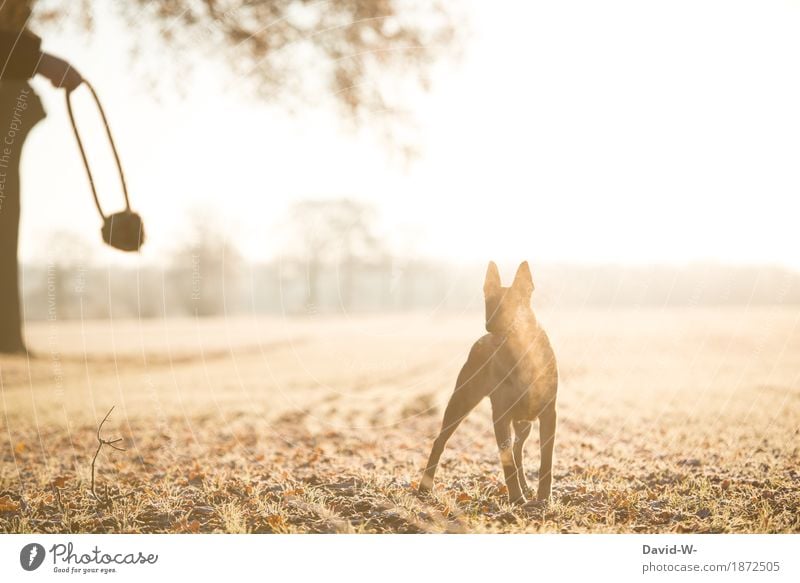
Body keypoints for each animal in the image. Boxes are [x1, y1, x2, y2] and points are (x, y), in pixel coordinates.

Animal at [418, 262, 556, 504]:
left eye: (513, 302)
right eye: (488, 301)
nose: (490, 326)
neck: (520, 352)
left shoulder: (549, 413)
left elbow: (545, 459)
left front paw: (543, 497)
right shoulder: (500, 414)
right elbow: (507, 461)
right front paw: (516, 498)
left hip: (524, 422)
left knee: (518, 450)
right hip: (461, 401)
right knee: (440, 441)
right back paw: (425, 487)